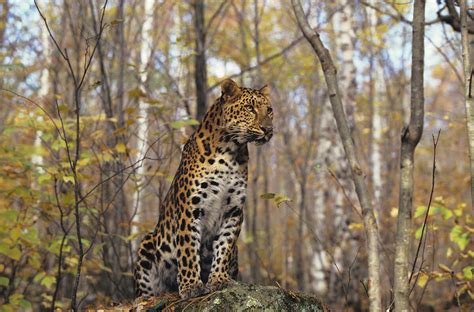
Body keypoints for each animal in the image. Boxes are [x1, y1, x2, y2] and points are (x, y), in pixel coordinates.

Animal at [134, 78, 274, 300]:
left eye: (269, 110)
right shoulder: (190, 208)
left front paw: (218, 279)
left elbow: (224, 246)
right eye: (250, 108)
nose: (268, 129)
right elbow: (188, 248)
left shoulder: (233, 211)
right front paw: (191, 286)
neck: (230, 152)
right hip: (148, 243)